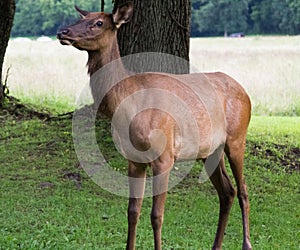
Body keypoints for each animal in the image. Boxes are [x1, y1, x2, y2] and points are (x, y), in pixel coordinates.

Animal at [57, 2, 252, 250]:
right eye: (82, 17)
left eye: (98, 22)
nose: (62, 32)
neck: (128, 106)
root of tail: (246, 92)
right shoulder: (134, 160)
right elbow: (132, 211)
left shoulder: (165, 156)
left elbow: (156, 215)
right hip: (210, 150)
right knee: (227, 192)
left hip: (237, 137)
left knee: (243, 191)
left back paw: (247, 244)